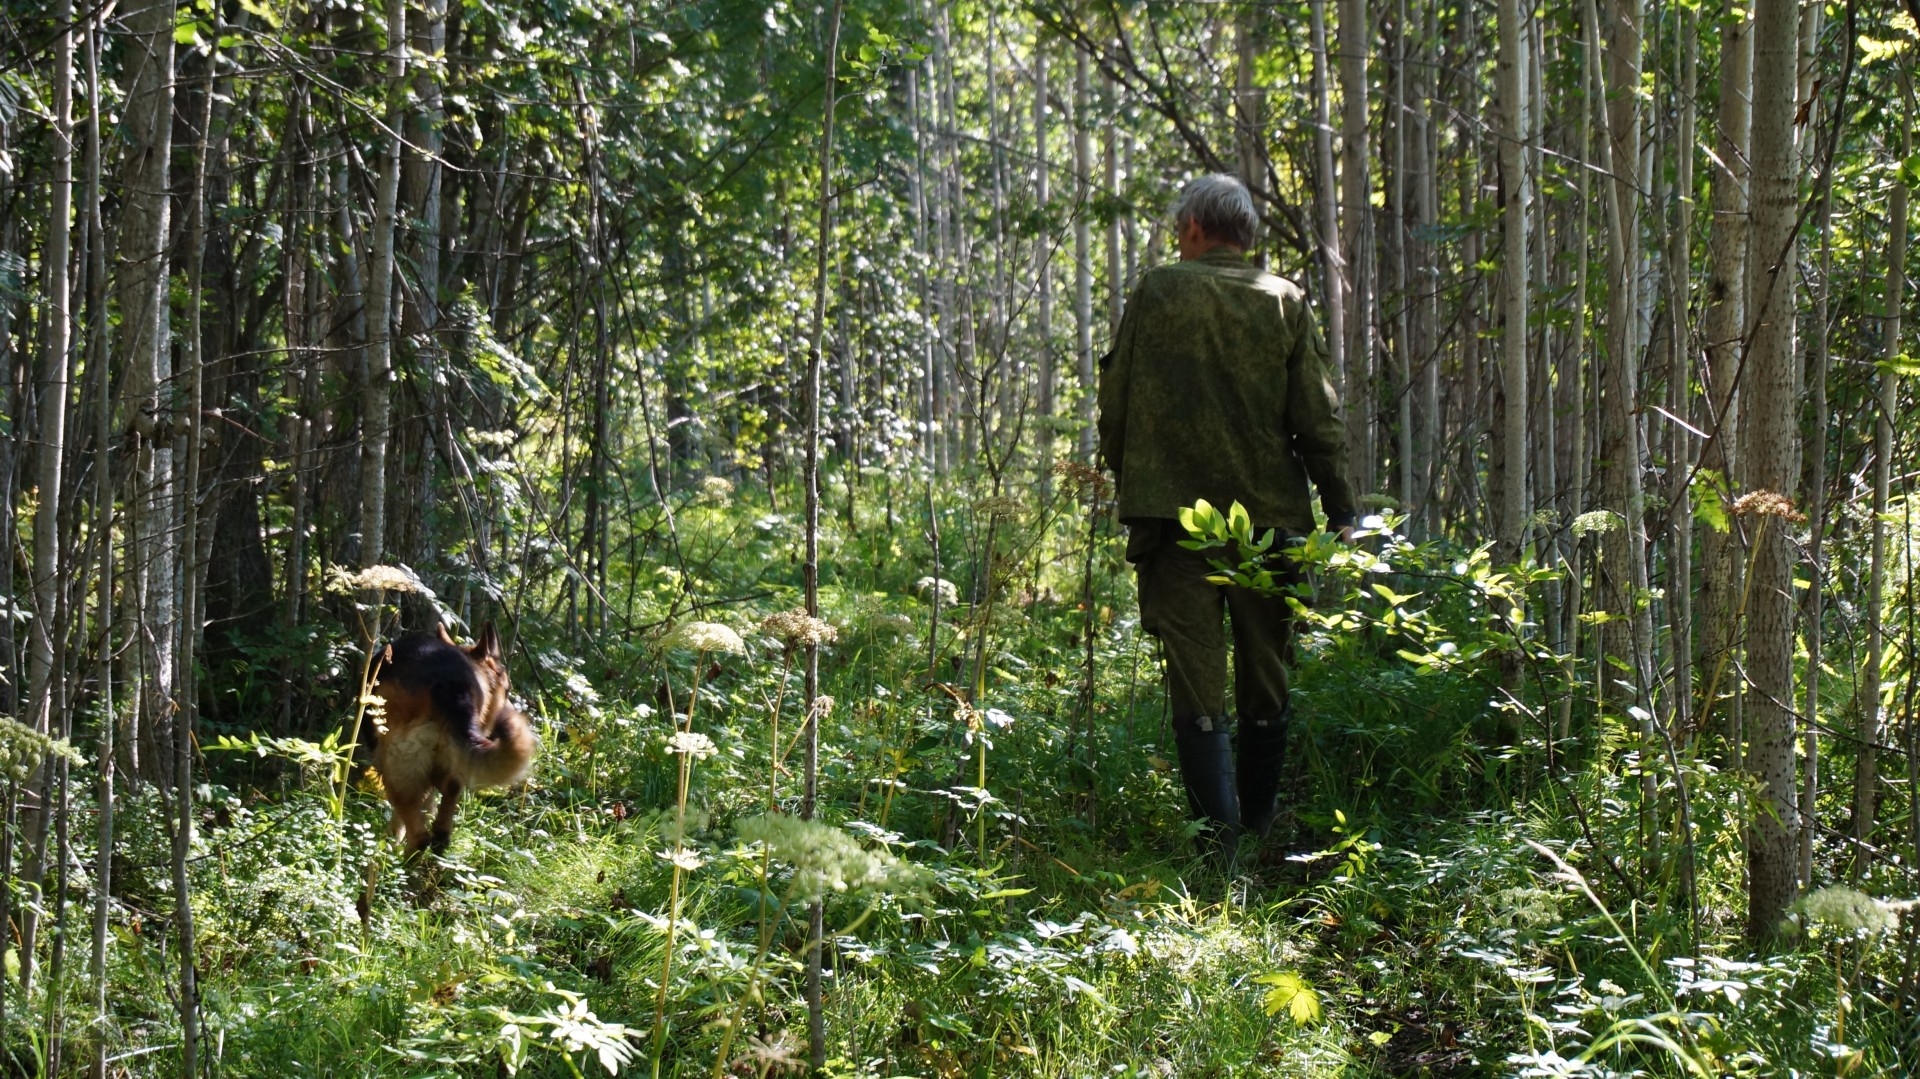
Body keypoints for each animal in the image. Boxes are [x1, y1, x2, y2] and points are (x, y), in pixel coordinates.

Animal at [370, 622, 537, 848]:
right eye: (508, 691)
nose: (510, 712)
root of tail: (453, 690)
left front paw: (391, 839)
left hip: (398, 767)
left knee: (419, 835)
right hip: (450, 766)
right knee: (444, 819)